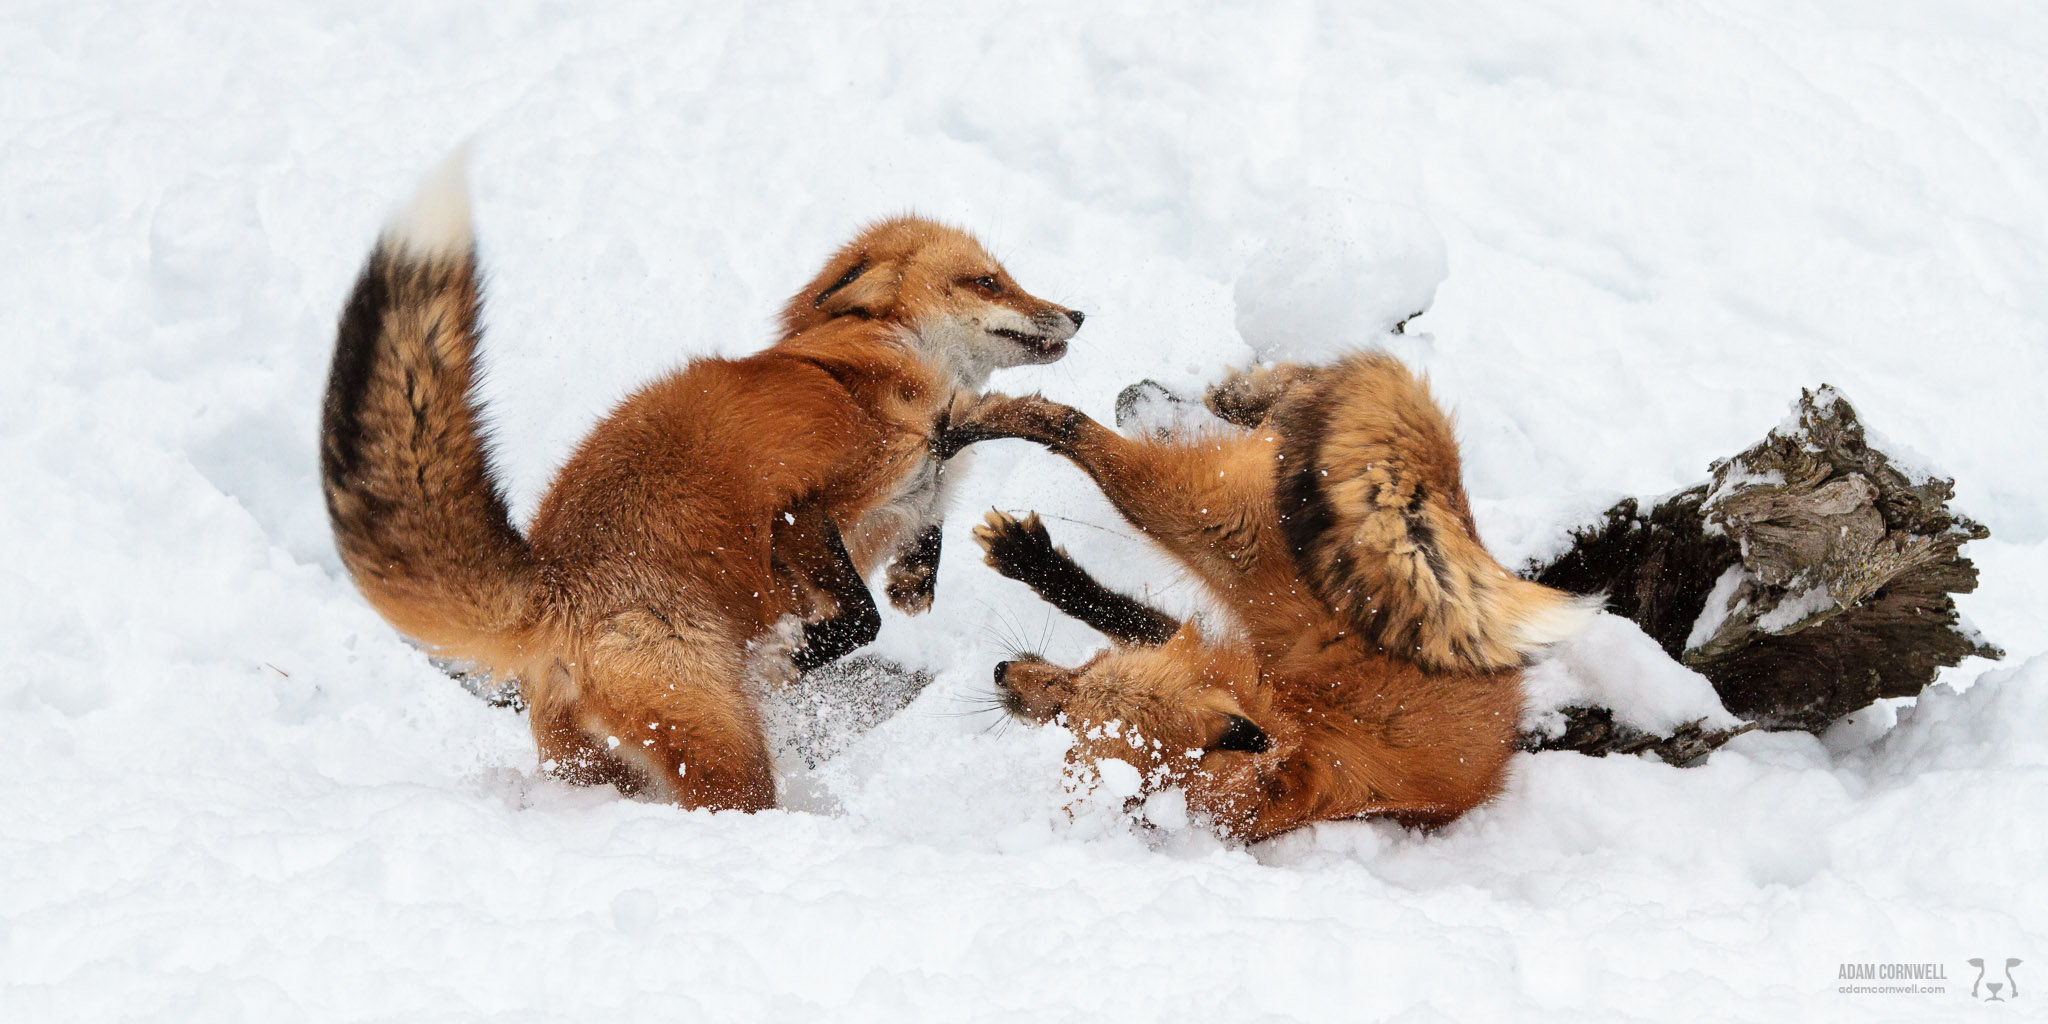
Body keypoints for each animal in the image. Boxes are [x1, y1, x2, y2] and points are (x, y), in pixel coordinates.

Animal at [315, 153, 1089, 806]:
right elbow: (859, 618)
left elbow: (922, 539)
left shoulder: (906, 496)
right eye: (987, 280)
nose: (1079, 313)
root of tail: (551, 585)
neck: (873, 378)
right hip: (724, 744)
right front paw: (797, 656)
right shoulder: (800, 505)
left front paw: (914, 581)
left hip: (599, 764)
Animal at [942, 352, 1597, 839]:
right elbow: (1119, 609)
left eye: (1065, 718)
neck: (1288, 732)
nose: (1001, 673)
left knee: (1078, 430)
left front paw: (1027, 557)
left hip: (1205, 520)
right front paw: (1036, 561)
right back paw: (1248, 393)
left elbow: (1115, 607)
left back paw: (977, 417)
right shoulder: (1228, 654)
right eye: (1085, 672)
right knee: (1305, 385)